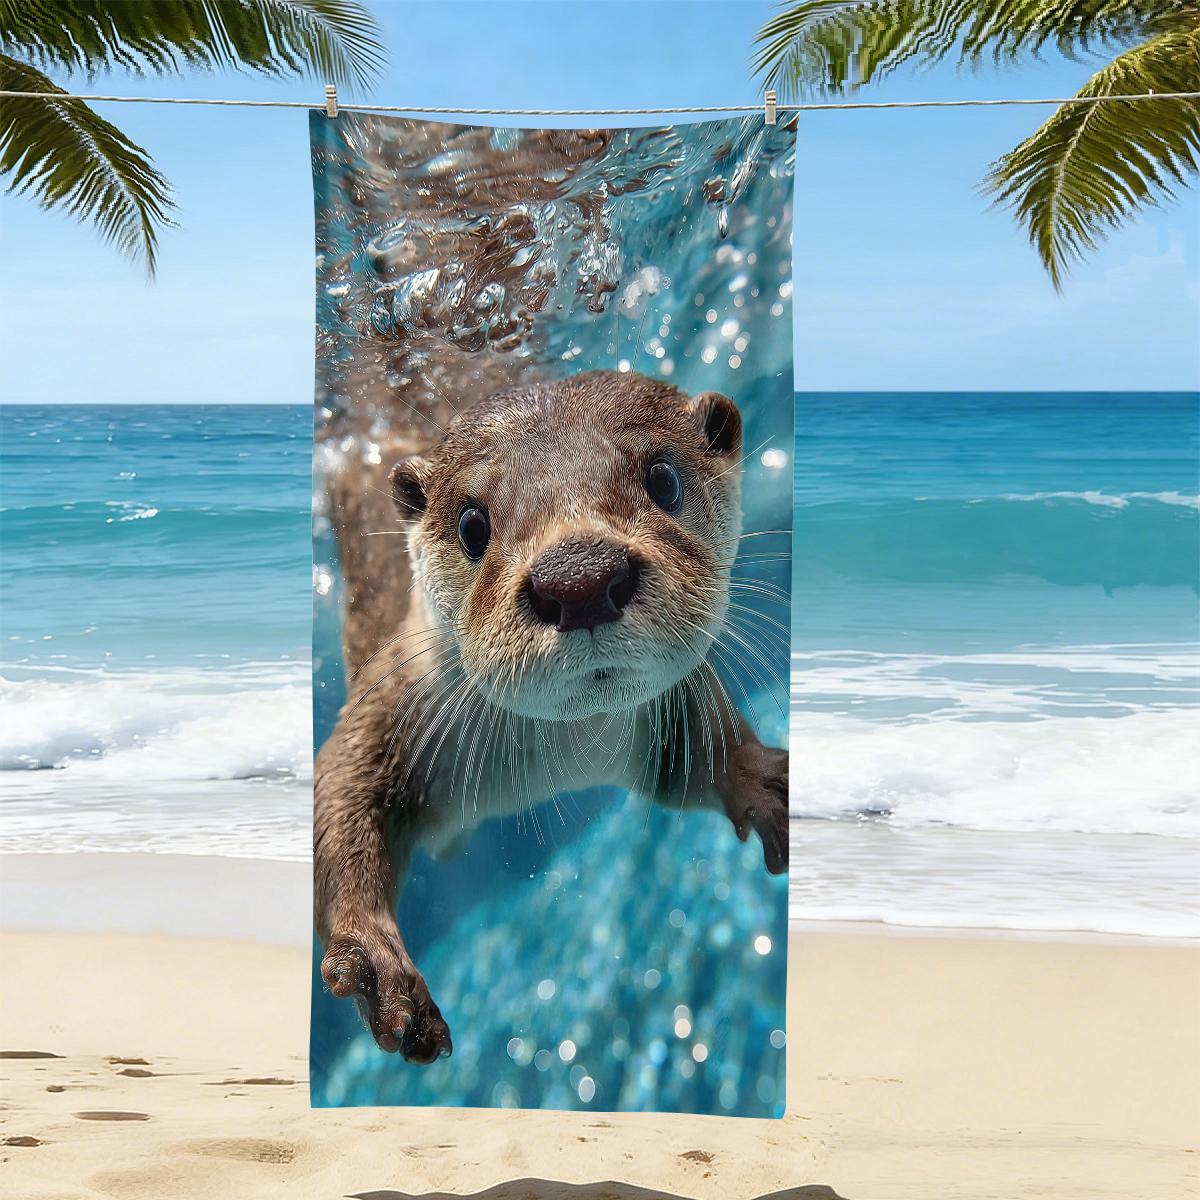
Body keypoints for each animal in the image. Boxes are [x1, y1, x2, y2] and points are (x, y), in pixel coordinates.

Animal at [315, 370, 789, 1064]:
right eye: (472, 524)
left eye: (663, 479)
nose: (580, 577)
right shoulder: (390, 705)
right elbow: (339, 797)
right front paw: (377, 962)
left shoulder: (669, 713)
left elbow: (703, 762)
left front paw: (761, 782)